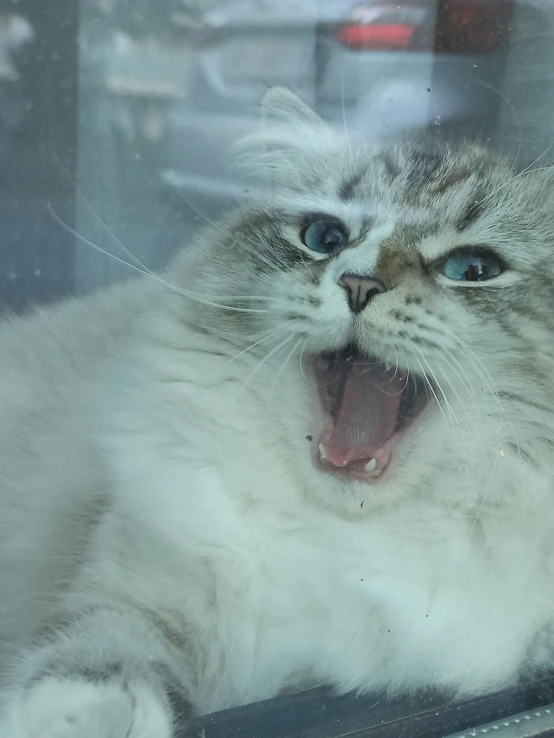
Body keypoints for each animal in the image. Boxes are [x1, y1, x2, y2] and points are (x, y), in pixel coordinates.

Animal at [1, 87, 552, 736]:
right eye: (324, 236)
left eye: (472, 270)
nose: (358, 284)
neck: (346, 533)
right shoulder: (136, 587)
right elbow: (97, 649)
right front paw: (80, 719)